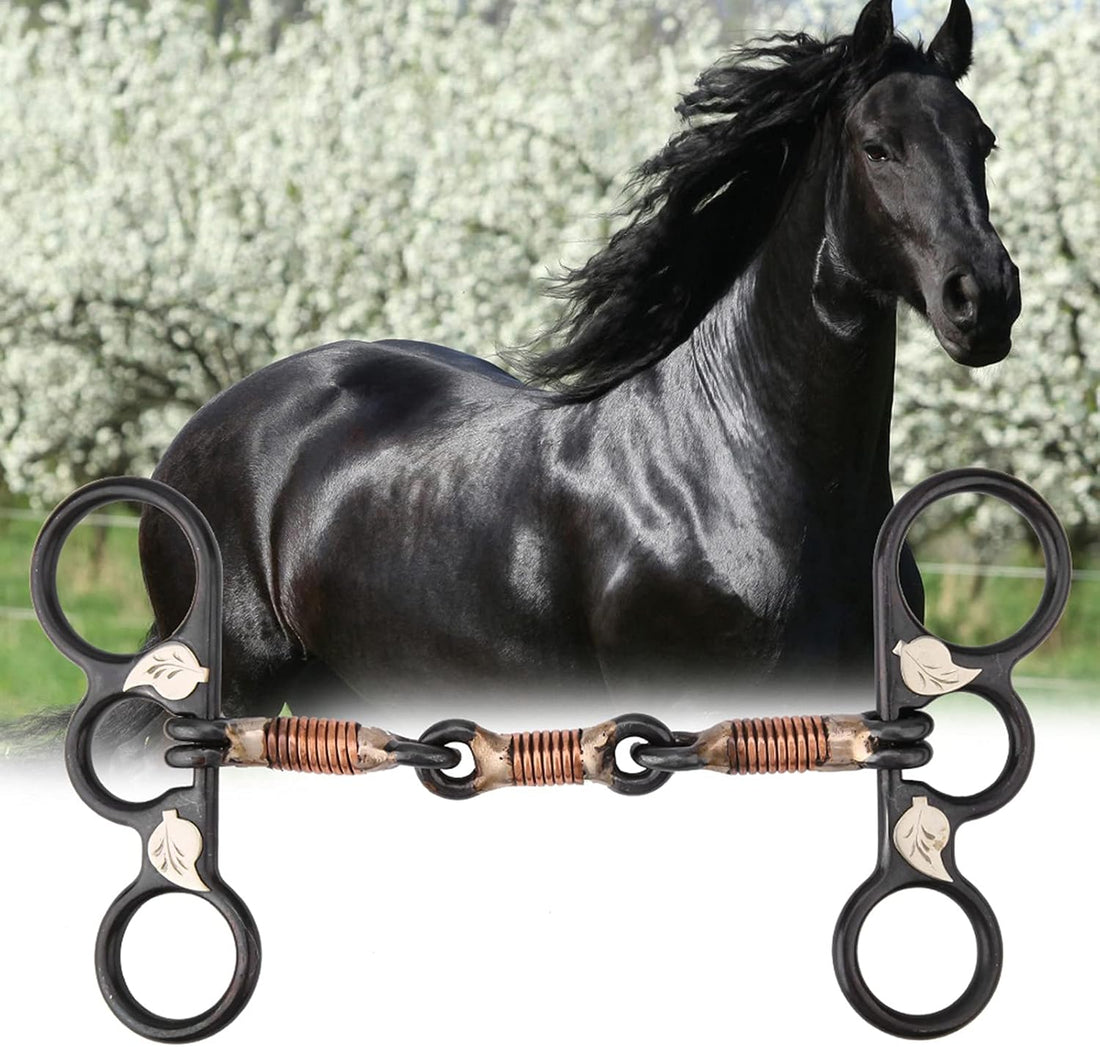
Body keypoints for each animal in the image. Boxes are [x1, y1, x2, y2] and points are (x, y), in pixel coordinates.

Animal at [129, 0, 1018, 732]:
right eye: (878, 147)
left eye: (983, 141)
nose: (985, 300)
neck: (734, 473)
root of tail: (196, 433)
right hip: (240, 681)